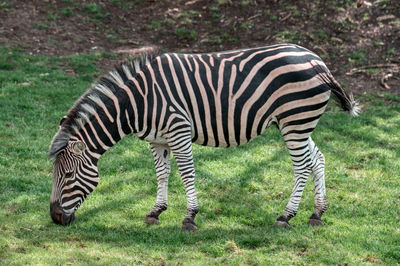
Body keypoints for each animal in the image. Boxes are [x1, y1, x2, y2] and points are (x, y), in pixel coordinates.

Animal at [48, 43, 358, 231]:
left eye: (68, 176)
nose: (55, 218)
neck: (137, 103)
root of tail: (317, 61)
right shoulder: (157, 140)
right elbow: (162, 174)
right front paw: (156, 211)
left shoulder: (178, 130)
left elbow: (186, 173)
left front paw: (190, 217)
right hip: (297, 123)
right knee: (317, 159)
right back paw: (317, 213)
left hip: (295, 121)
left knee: (302, 166)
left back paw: (286, 215)